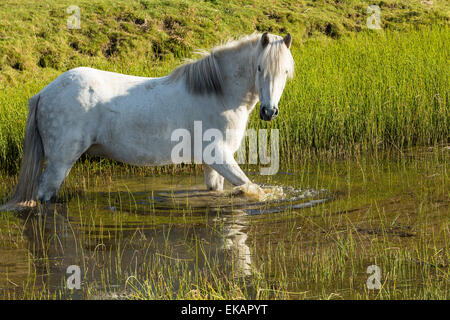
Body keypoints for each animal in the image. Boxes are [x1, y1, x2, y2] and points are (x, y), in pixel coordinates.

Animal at [0, 31, 294, 210]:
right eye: (259, 68)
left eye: (286, 72)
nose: (269, 112)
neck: (218, 94)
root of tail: (44, 92)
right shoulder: (219, 157)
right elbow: (251, 188)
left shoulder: (211, 164)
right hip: (59, 163)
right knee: (45, 195)